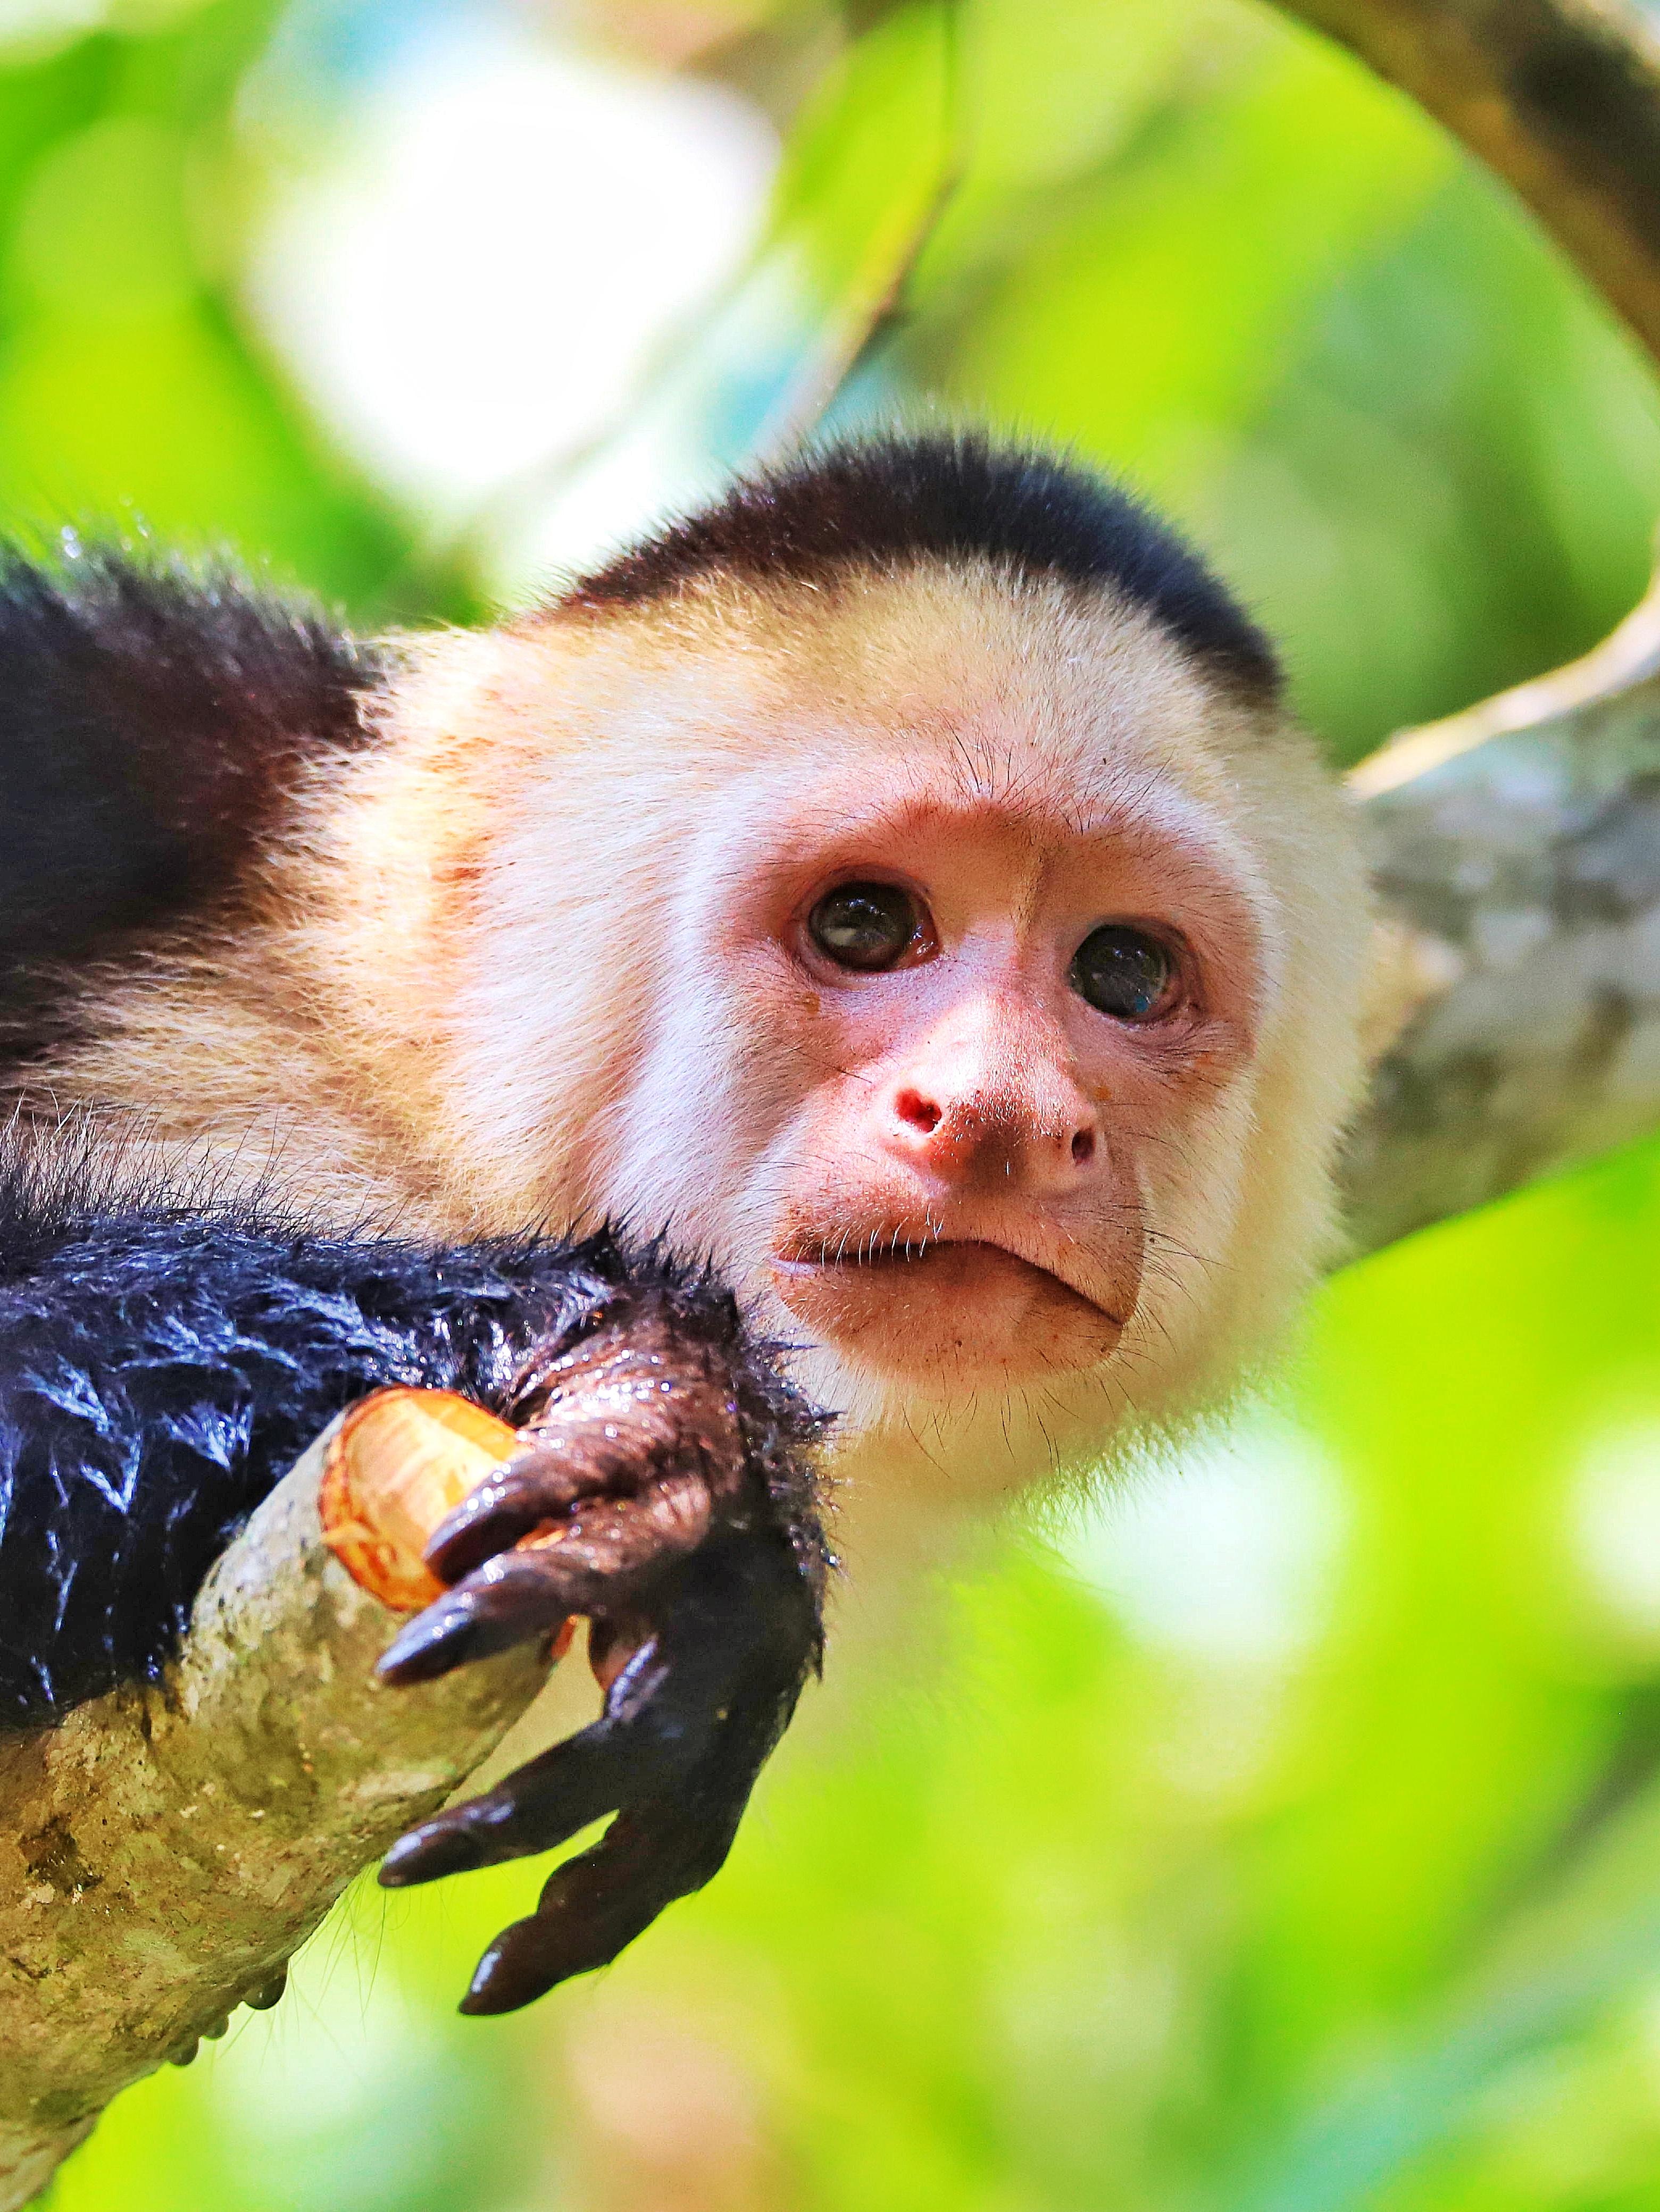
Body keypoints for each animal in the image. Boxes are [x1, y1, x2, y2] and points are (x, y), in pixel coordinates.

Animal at [0, 431, 1370, 2014]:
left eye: (1124, 971)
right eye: (862, 925)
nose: (999, 1114)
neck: (380, 1119)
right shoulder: (127, 732)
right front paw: (657, 1409)